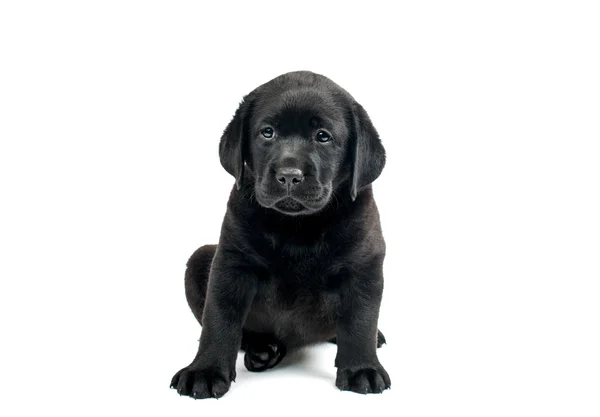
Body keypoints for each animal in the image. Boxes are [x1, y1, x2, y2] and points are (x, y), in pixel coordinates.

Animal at [171, 70, 392, 398]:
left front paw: (361, 369)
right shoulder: (231, 263)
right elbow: (219, 318)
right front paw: (205, 371)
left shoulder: (363, 266)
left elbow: (360, 320)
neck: (297, 226)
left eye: (323, 136)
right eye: (267, 133)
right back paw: (264, 350)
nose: (289, 175)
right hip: (200, 258)